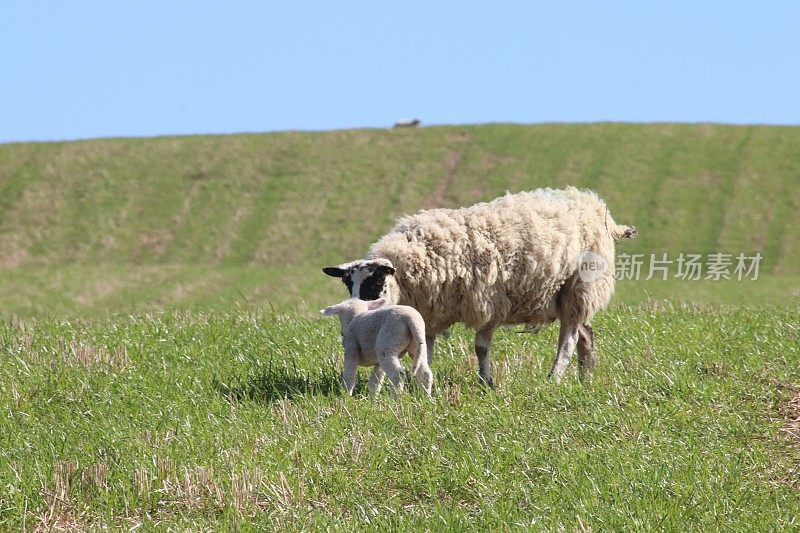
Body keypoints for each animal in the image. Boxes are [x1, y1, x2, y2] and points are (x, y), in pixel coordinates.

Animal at [322, 188, 636, 386]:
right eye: (348, 284)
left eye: (376, 282)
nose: (359, 318)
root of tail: (594, 206)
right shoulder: (431, 313)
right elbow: (426, 347)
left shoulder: (489, 302)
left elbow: (481, 348)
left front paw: (487, 382)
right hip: (571, 296)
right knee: (586, 334)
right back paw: (585, 378)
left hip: (578, 286)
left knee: (568, 338)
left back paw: (555, 378)